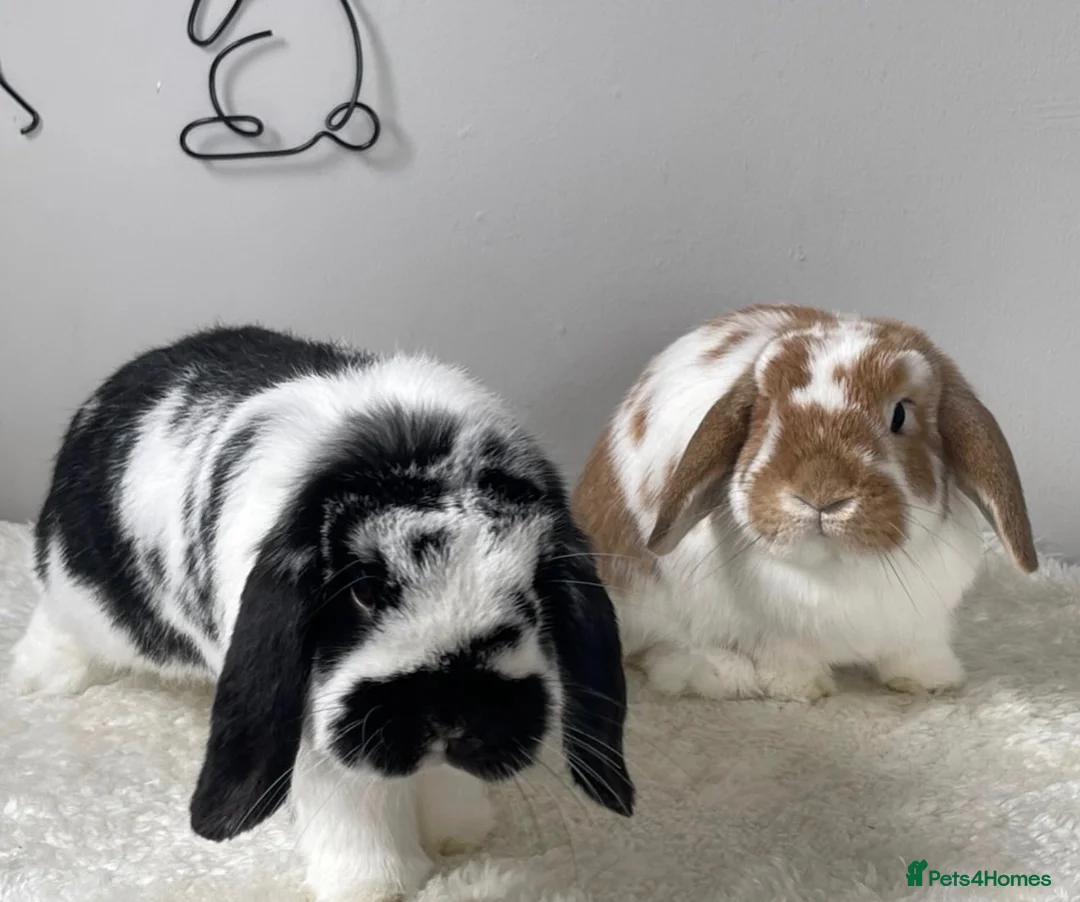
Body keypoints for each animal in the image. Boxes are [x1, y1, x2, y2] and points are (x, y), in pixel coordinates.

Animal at [9, 325, 633, 902]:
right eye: (364, 592)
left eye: (532, 593)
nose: (450, 715)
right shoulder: (316, 731)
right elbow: (358, 808)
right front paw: (379, 886)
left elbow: (440, 783)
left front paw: (458, 835)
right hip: (85, 594)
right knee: (58, 614)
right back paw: (39, 678)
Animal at [572, 303, 1036, 704]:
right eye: (768, 414)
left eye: (900, 415)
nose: (820, 495)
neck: (841, 569)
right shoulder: (771, 632)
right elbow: (785, 657)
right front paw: (800, 688)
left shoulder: (923, 622)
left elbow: (915, 653)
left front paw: (930, 681)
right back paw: (723, 674)